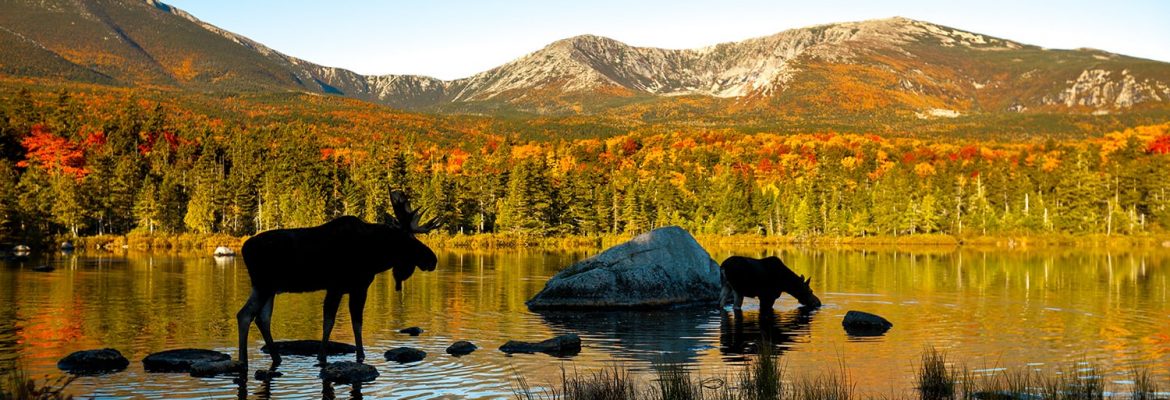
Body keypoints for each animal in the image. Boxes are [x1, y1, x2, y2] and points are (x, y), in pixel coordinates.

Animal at [235, 190, 441, 373]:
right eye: (408, 240)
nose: (432, 259)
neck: (374, 256)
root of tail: (244, 248)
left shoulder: (355, 288)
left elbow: (356, 322)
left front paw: (360, 355)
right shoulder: (339, 286)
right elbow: (330, 321)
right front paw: (322, 356)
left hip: (269, 288)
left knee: (262, 318)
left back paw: (275, 357)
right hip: (263, 285)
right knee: (245, 315)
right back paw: (243, 361)